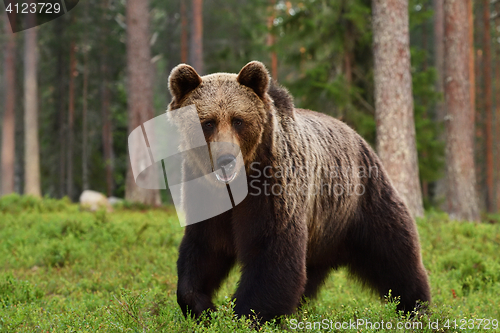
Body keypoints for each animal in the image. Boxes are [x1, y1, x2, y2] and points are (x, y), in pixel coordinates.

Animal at [168, 60, 430, 322]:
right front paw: (203, 307)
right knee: (310, 272)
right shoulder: (205, 194)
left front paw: (248, 315)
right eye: (208, 122)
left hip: (361, 199)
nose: (226, 159)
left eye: (238, 120)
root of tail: (357, 135)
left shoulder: (273, 187)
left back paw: (417, 306)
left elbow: (272, 252)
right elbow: (205, 247)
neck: (238, 183)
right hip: (322, 228)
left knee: (394, 252)